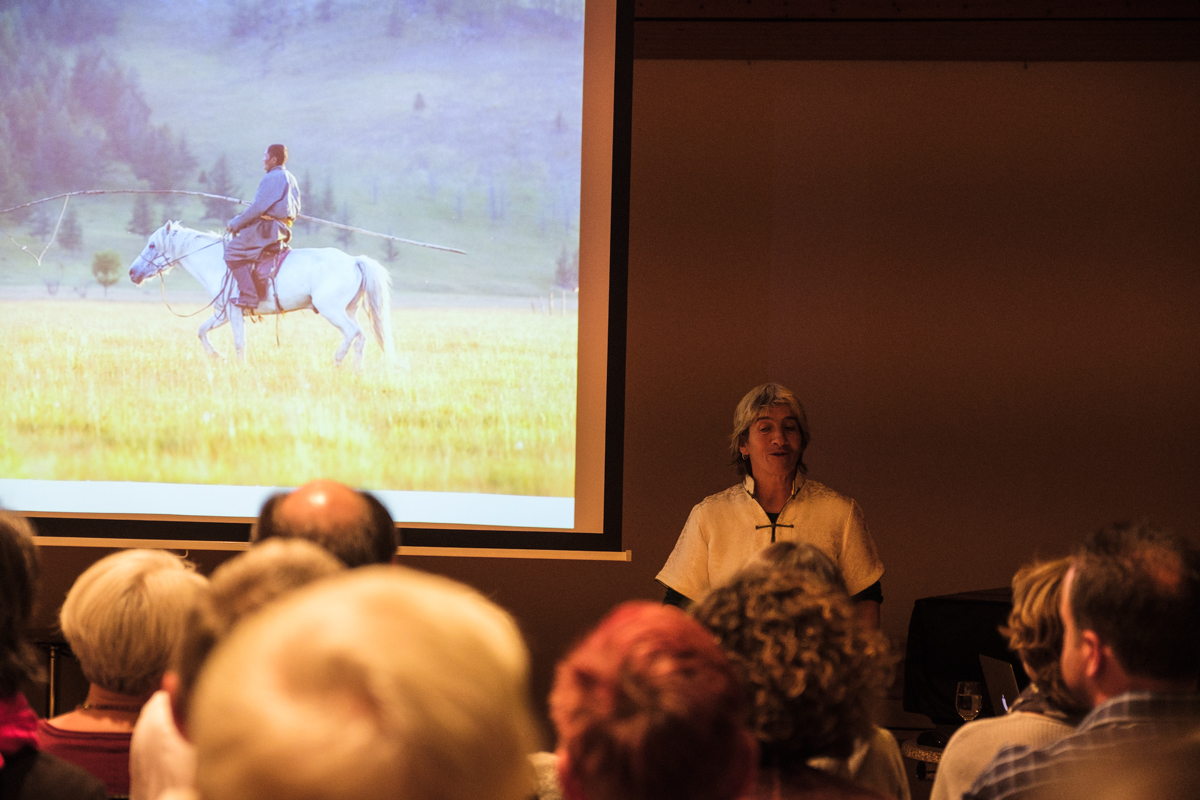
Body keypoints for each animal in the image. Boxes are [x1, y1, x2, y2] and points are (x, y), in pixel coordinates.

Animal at [131, 221, 393, 367]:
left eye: (152, 245)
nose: (133, 272)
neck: (217, 262)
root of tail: (355, 260)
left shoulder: (234, 312)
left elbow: (239, 343)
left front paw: (239, 367)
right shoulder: (222, 314)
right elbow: (201, 330)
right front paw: (218, 357)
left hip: (332, 311)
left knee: (352, 333)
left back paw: (337, 361)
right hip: (349, 310)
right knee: (361, 337)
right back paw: (355, 370)